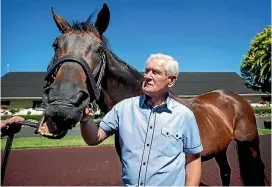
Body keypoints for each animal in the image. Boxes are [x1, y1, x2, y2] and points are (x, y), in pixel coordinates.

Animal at [42, 3, 266, 186]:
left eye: (99, 49)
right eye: (55, 44)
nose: (62, 105)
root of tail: (235, 98)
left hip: (250, 145)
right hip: (221, 148)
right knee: (226, 172)